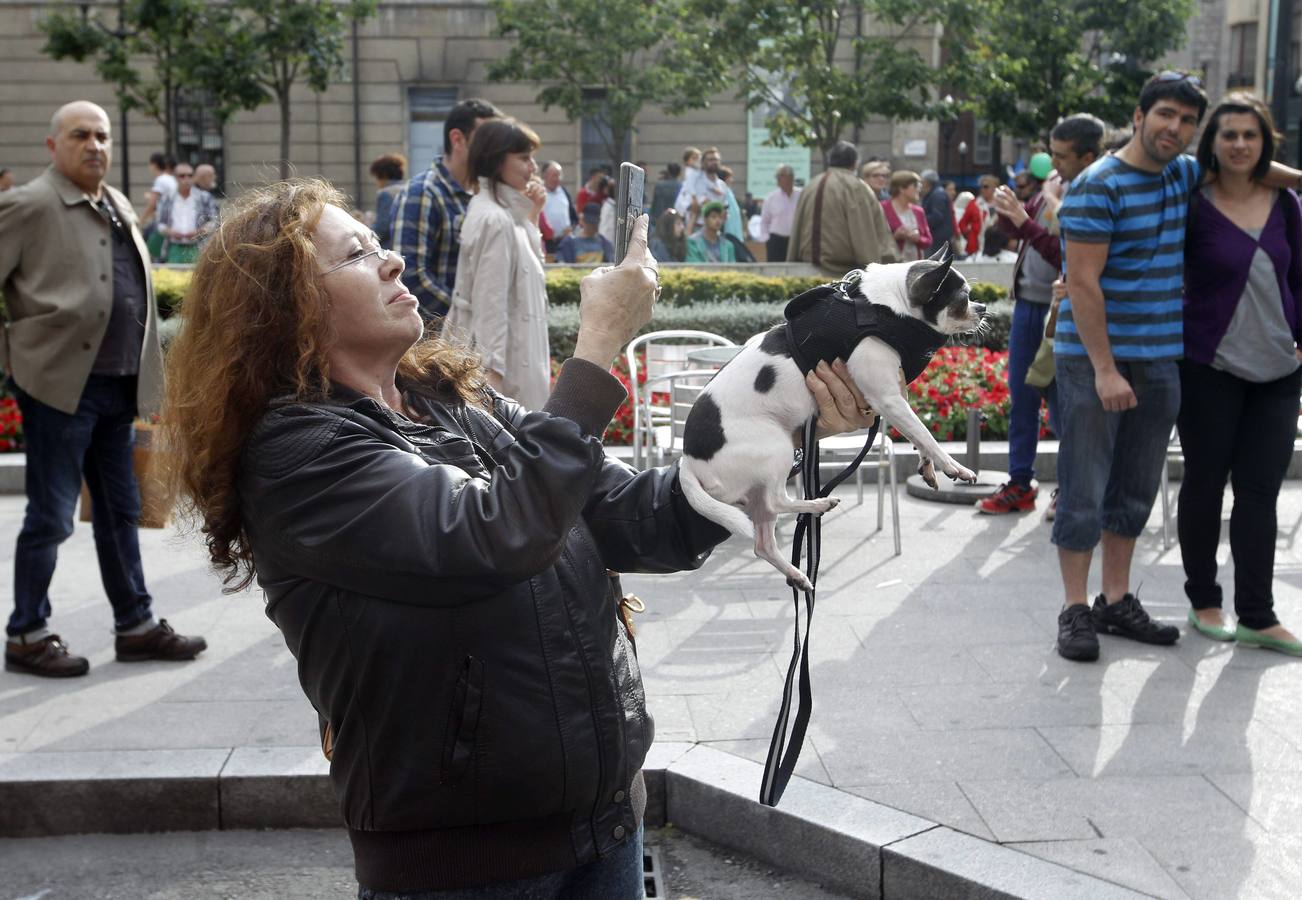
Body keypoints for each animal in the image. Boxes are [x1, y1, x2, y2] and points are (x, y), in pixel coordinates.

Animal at [682, 250, 984, 591]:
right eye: (962, 299)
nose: (983, 308)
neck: (887, 307)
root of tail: (688, 461)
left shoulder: (897, 395)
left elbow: (917, 434)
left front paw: (928, 465)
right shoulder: (888, 397)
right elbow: (926, 434)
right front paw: (953, 466)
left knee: (763, 542)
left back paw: (796, 573)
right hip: (776, 448)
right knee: (776, 501)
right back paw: (817, 505)